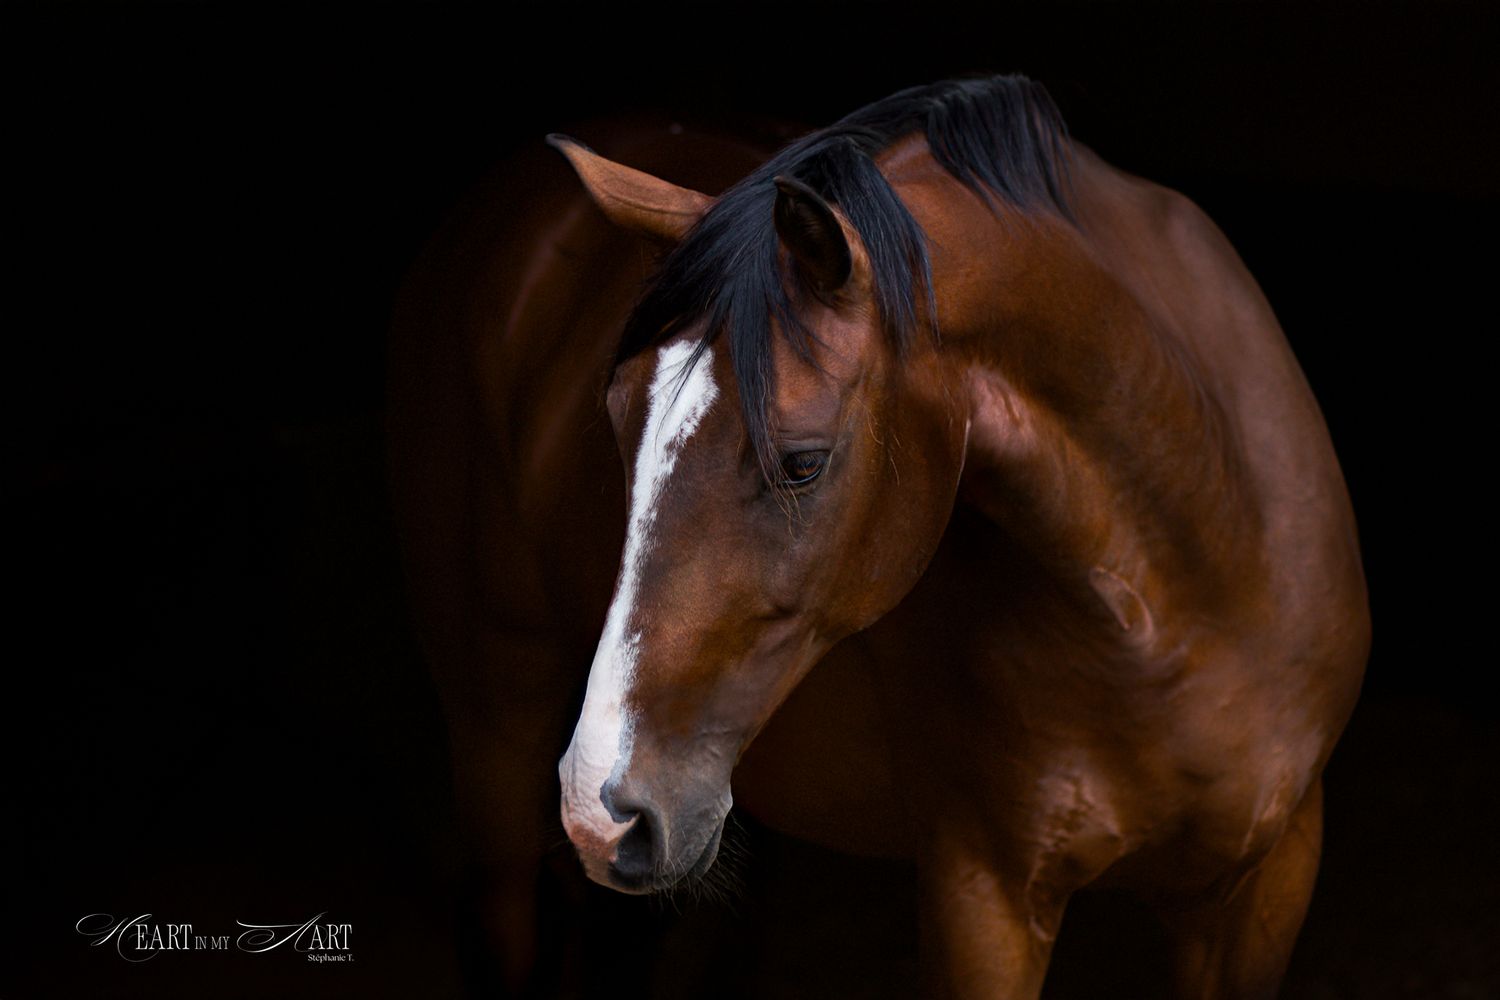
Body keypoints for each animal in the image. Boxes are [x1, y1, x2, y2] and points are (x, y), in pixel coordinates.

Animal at [388, 76, 1368, 999]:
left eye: (801, 463)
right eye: (616, 422)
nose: (605, 812)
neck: (1188, 601)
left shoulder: (1267, 883)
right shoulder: (985, 896)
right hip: (497, 732)